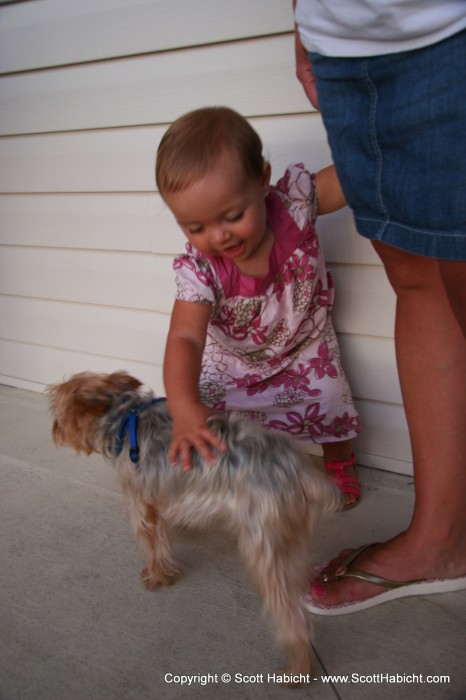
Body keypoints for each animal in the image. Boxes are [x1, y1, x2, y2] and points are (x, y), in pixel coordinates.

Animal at [47, 372, 340, 684]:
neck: (124, 416)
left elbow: (152, 545)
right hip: (289, 536)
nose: (55, 431)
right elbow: (164, 536)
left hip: (263, 538)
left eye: (59, 412)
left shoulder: (140, 504)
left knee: (292, 614)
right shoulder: (161, 498)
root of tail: (299, 470)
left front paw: (156, 576)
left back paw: (297, 669)